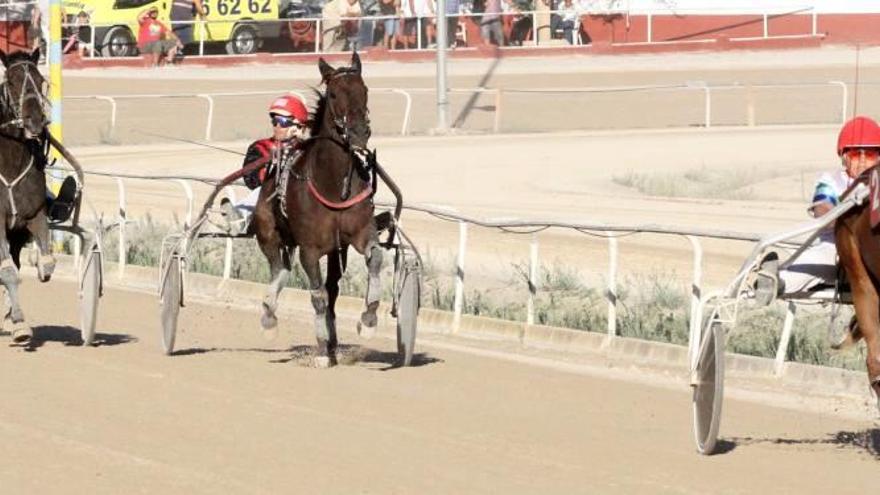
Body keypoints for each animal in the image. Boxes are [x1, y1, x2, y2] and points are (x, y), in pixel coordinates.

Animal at [254, 51, 378, 368]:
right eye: (333, 93)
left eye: (365, 90)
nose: (358, 133)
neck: (332, 182)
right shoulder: (309, 250)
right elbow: (317, 295)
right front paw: (322, 350)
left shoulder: (359, 234)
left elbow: (374, 260)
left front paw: (369, 317)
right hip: (267, 231)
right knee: (279, 269)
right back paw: (269, 316)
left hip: (336, 250)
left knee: (330, 287)